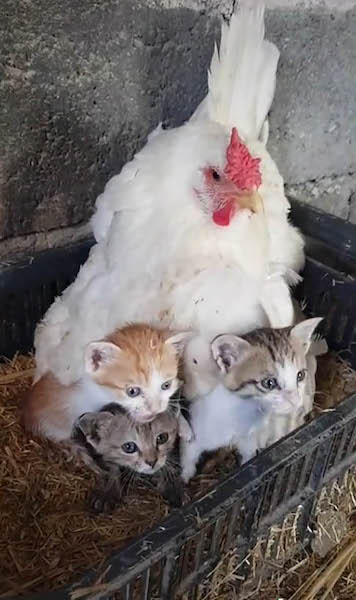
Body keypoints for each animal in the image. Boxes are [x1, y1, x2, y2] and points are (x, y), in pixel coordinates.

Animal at [182, 318, 324, 482]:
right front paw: (185, 477)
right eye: (269, 383)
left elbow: (248, 459)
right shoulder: (197, 431)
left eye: (300, 375)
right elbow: (189, 454)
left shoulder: (249, 440)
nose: (295, 400)